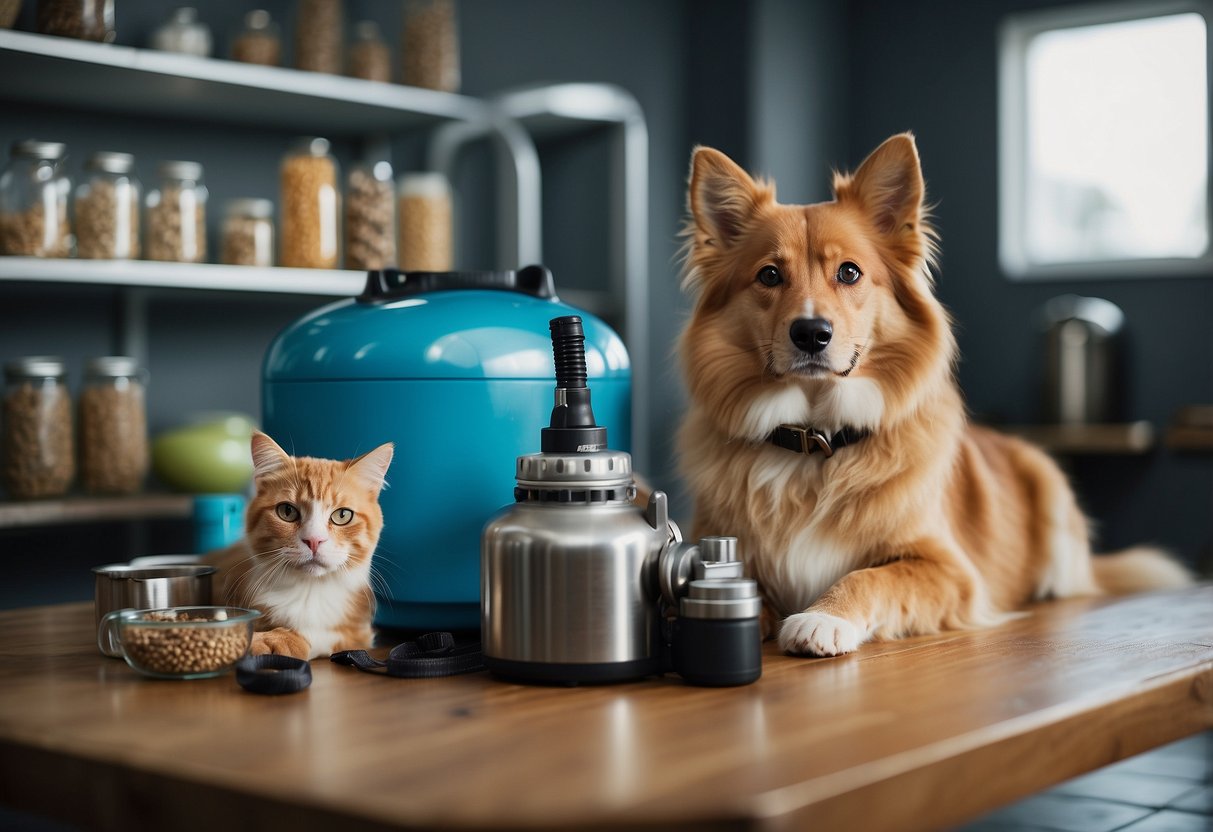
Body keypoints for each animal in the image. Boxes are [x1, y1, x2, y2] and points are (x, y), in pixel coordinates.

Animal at [203, 434, 393, 659]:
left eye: (342, 515)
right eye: (287, 511)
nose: (314, 540)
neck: (309, 590)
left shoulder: (359, 632)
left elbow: (322, 633)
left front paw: (278, 638)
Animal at [679, 135, 1188, 659]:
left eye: (849, 272)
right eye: (769, 276)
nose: (811, 333)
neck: (816, 442)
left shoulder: (951, 571)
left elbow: (870, 577)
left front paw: (823, 617)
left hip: (1048, 489)